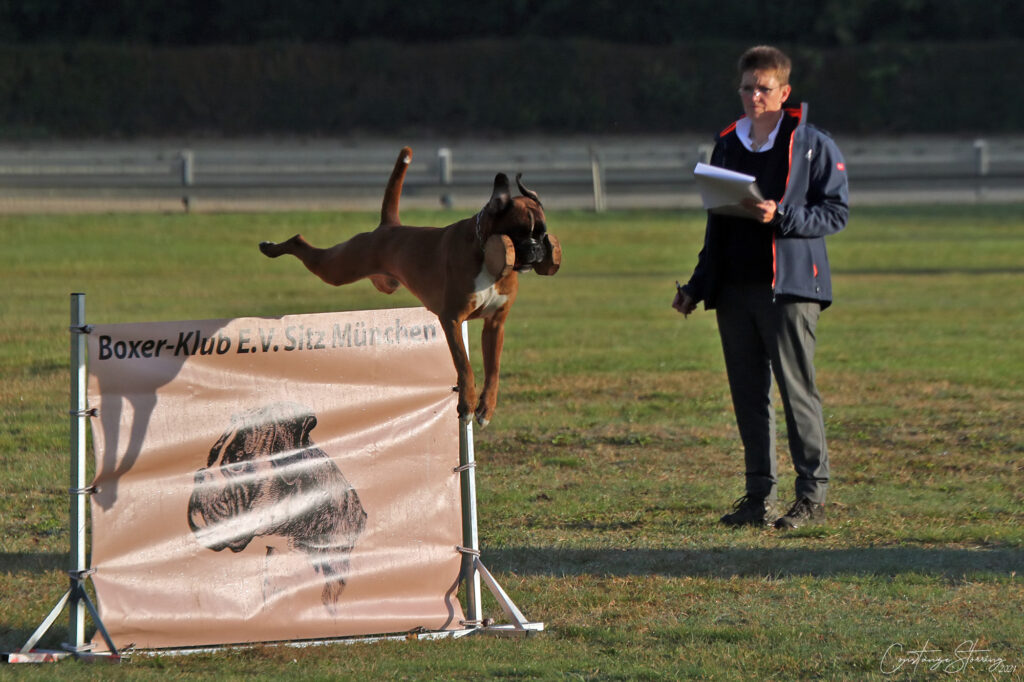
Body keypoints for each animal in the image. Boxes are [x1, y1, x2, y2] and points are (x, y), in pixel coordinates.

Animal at [256, 146, 561, 425]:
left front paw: (486, 408)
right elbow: (464, 365)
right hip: (337, 267)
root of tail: (389, 226)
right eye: (518, 233)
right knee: (299, 240)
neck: (486, 253)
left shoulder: (495, 325)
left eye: (542, 233)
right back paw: (270, 247)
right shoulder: (452, 318)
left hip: (378, 281)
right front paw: (467, 404)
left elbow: (494, 370)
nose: (536, 249)